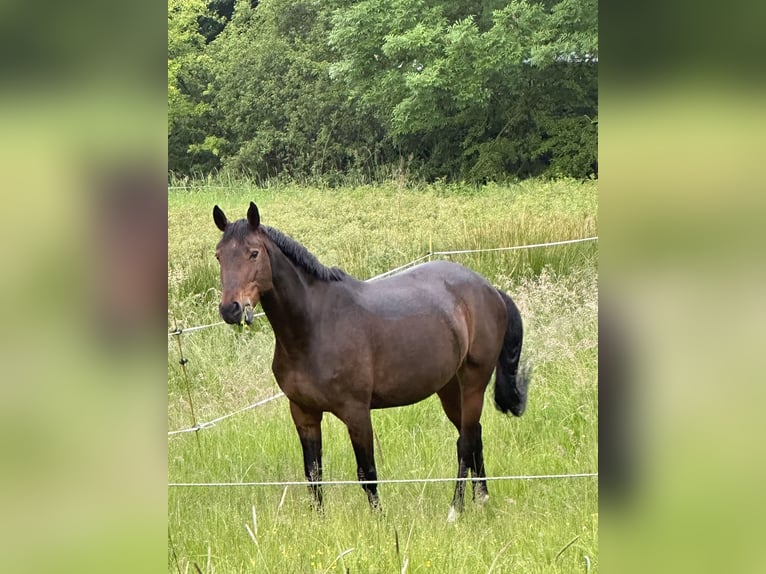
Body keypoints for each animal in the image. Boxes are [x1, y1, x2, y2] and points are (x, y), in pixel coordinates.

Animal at [213, 202, 532, 520]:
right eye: (219, 255)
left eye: (253, 253)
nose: (230, 309)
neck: (314, 325)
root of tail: (489, 290)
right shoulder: (303, 413)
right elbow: (313, 473)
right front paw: (319, 521)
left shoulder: (356, 412)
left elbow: (367, 472)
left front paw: (380, 521)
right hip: (450, 389)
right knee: (474, 436)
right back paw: (482, 500)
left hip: (473, 383)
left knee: (465, 443)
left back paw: (456, 509)